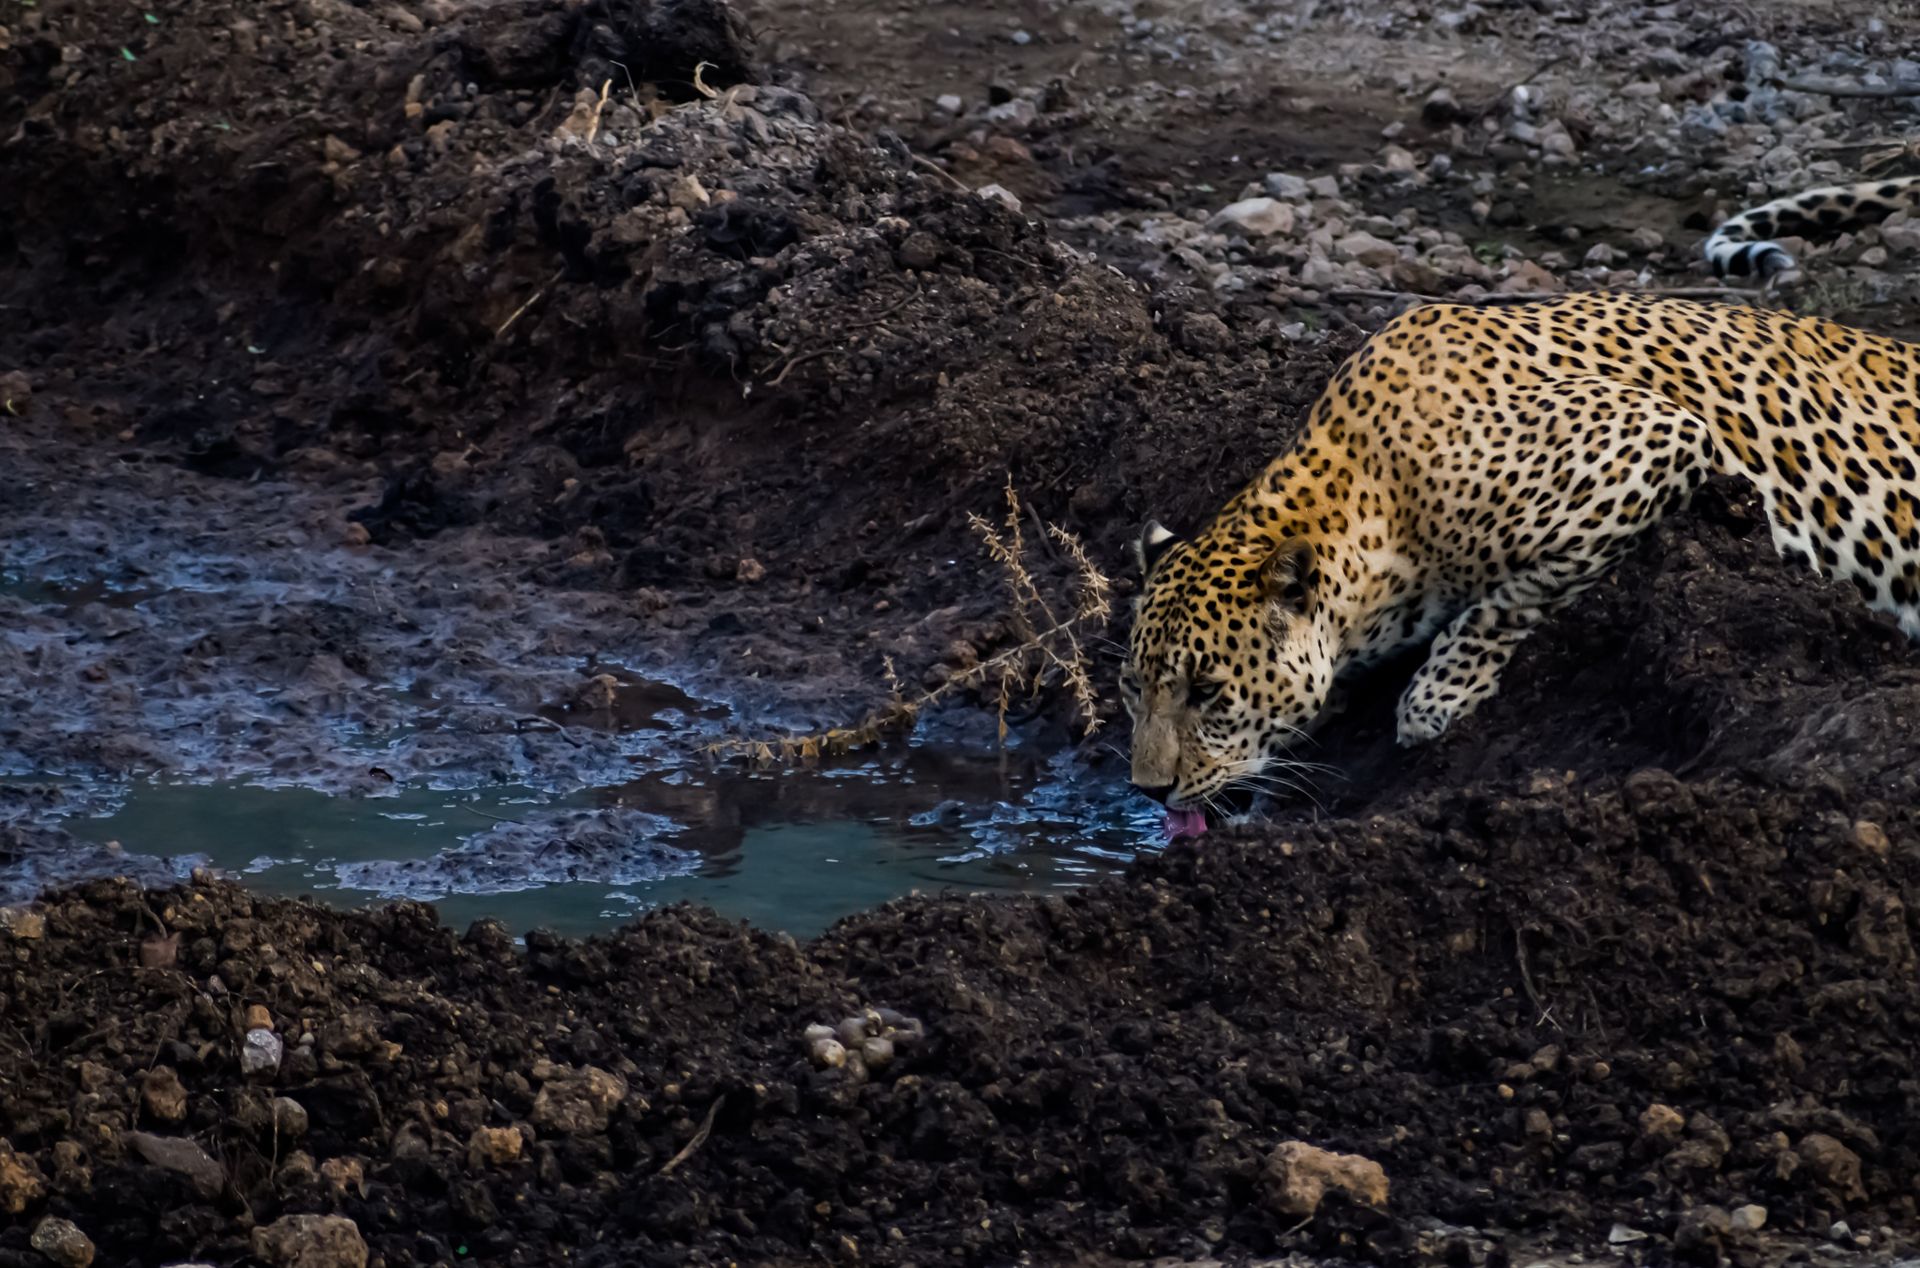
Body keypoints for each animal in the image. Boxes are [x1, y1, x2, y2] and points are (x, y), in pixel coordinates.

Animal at [1122, 291, 1920, 833]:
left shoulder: (1651, 438)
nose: (1146, 791)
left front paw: (1436, 698)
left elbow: (1512, 595)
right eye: (1136, 688)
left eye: (1207, 693)